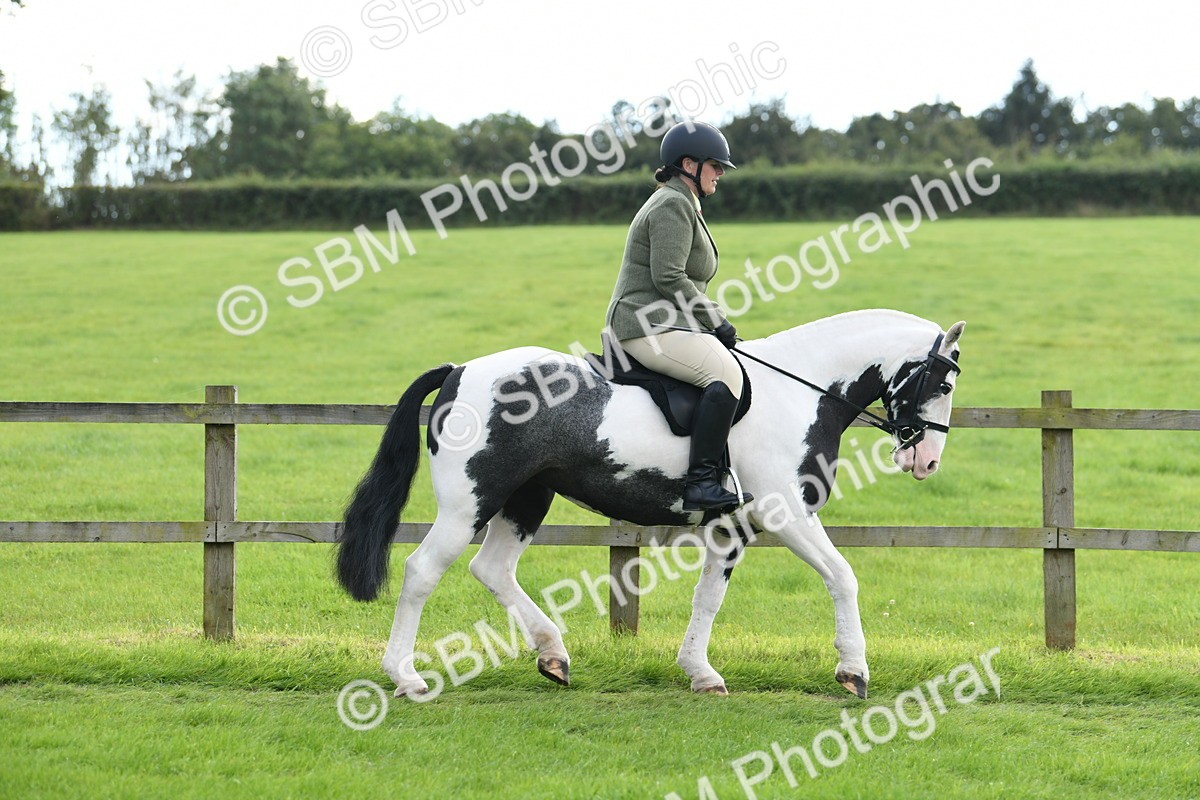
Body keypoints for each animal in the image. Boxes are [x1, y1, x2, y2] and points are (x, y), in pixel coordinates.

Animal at [336, 309, 965, 699]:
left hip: (527, 497)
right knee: (421, 572)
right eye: (946, 384)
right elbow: (842, 576)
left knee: (491, 569)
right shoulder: (787, 513)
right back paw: (406, 677)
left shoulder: (733, 527)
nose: (927, 460)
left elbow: (708, 598)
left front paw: (700, 673)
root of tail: (461, 370)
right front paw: (853, 671)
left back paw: (553, 655)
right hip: (469, 503)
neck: (801, 391)